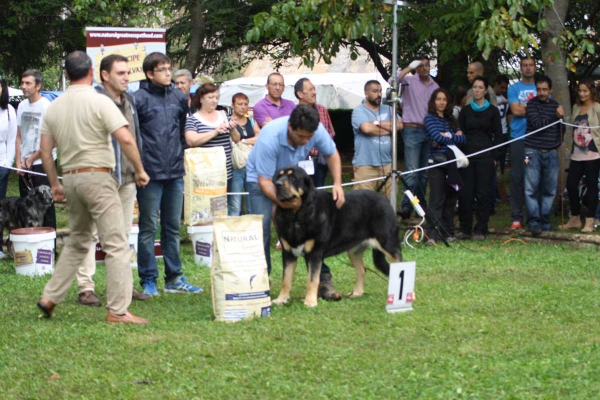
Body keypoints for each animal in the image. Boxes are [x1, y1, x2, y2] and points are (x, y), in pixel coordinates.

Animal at [274, 165, 400, 306]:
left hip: (388, 244)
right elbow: (286, 280)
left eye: (293, 178)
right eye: (279, 176)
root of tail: (384, 200)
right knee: (362, 270)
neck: (295, 216)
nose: (277, 184)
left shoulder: (315, 254)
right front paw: (281, 299)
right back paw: (356, 293)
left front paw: (310, 302)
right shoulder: (288, 253)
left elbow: (312, 280)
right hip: (354, 251)